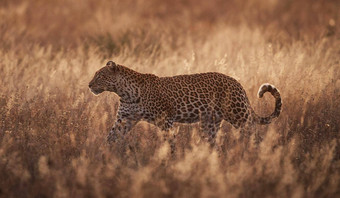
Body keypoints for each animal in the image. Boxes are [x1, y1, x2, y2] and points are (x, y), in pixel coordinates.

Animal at [88, 60, 282, 147]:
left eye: (100, 76)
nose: (89, 85)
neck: (125, 93)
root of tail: (237, 82)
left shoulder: (165, 120)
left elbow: (170, 143)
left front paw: (170, 163)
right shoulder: (124, 119)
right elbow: (111, 137)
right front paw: (103, 157)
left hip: (238, 114)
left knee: (255, 135)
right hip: (210, 123)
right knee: (213, 144)